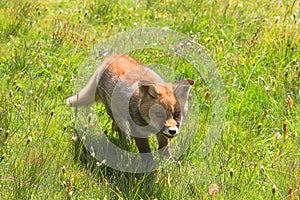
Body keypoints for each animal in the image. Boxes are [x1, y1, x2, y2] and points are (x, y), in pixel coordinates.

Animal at [66, 54, 195, 166]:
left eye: (177, 114)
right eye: (159, 114)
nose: (173, 131)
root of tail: (111, 57)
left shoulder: (161, 134)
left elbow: (164, 151)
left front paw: (172, 163)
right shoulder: (138, 131)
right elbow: (146, 153)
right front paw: (149, 169)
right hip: (114, 111)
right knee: (119, 127)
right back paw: (125, 140)